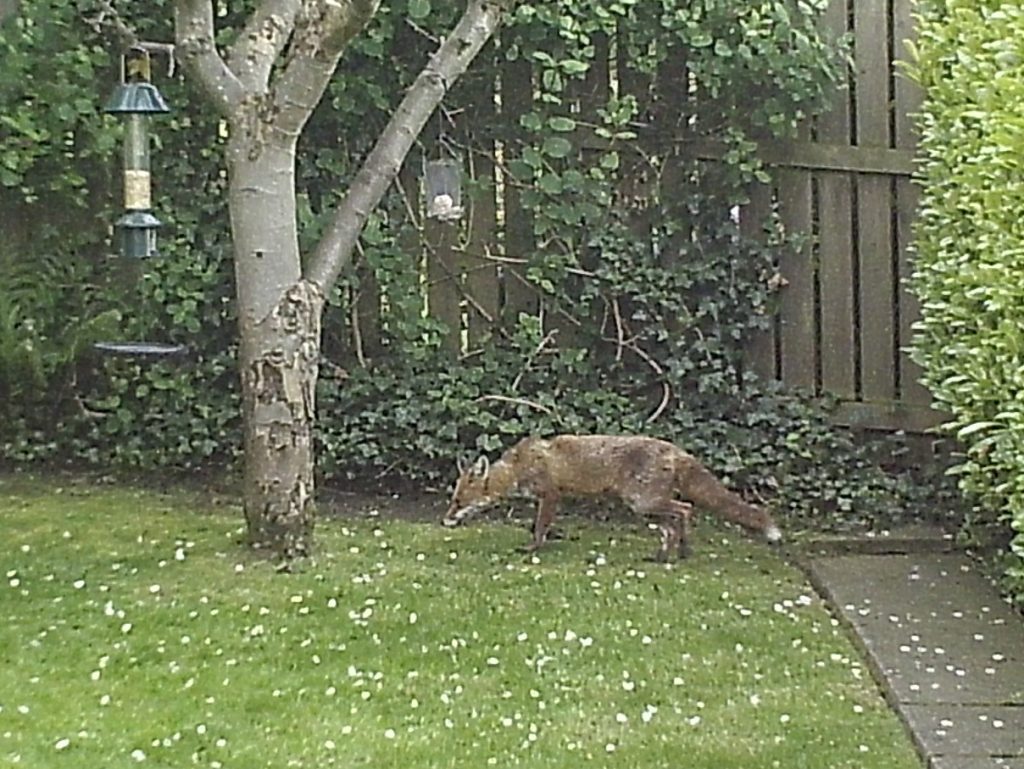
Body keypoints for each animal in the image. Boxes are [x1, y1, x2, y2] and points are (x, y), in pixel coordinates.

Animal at [442, 434, 781, 561]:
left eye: (458, 502)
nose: (444, 521)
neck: (518, 466)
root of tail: (675, 450)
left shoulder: (550, 494)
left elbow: (539, 527)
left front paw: (532, 549)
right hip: (645, 506)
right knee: (677, 519)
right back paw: (673, 553)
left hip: (643, 502)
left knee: (684, 510)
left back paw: (673, 554)